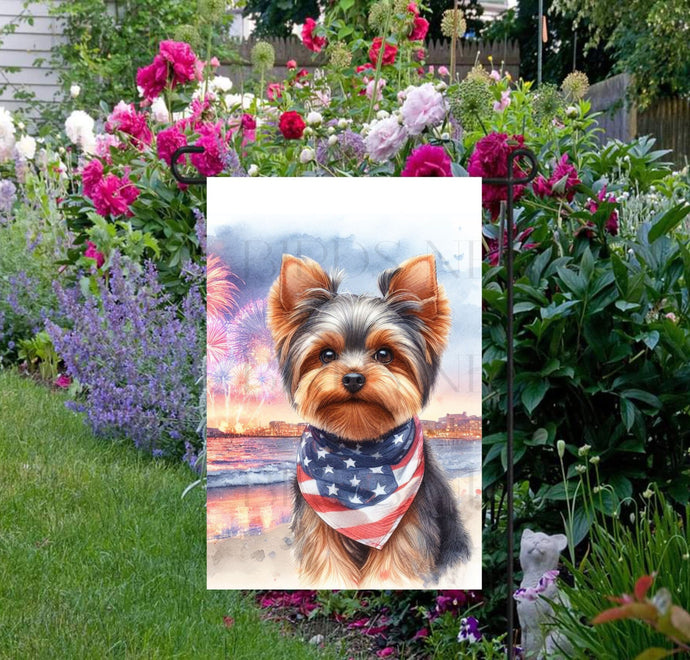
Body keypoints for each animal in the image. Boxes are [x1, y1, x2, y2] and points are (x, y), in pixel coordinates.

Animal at [266, 254, 470, 588]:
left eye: (385, 354)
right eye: (326, 355)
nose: (352, 377)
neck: (358, 448)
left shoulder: (409, 523)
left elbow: (394, 568)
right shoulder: (318, 524)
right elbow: (327, 565)